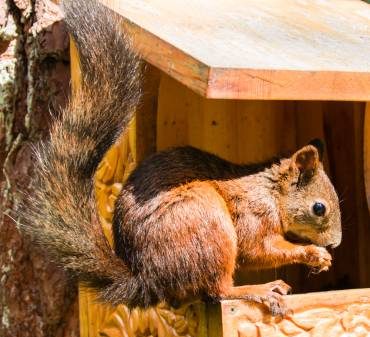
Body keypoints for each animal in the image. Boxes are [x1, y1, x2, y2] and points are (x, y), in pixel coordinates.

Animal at [17, 0, 342, 316]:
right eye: (319, 208)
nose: (335, 243)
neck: (272, 191)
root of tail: (148, 279)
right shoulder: (254, 214)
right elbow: (258, 249)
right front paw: (313, 253)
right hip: (205, 221)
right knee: (217, 291)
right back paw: (259, 290)